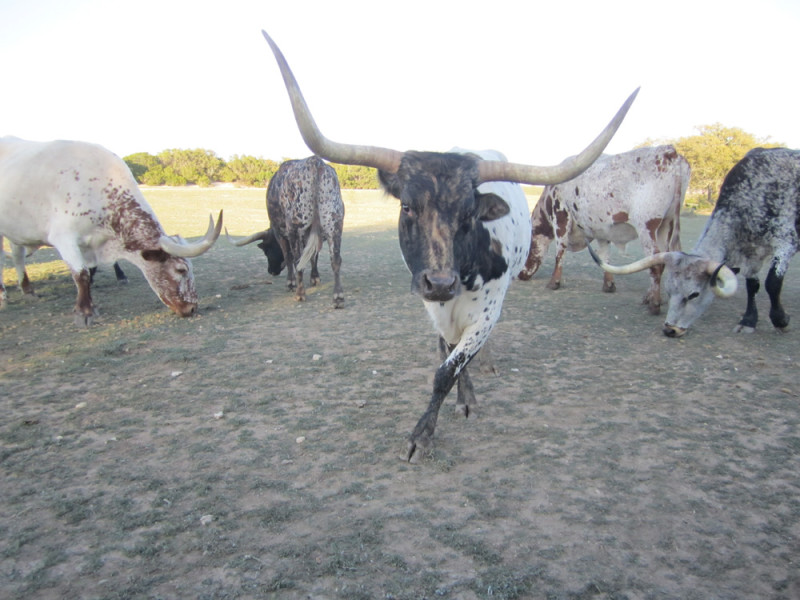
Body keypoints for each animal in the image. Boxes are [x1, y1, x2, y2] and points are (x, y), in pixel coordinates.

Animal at [230, 156, 346, 310]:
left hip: (295, 228)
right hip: (334, 224)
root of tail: (315, 161)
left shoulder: (281, 233)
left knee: (297, 260)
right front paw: (315, 278)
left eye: (266, 250)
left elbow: (289, 256)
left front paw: (291, 282)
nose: (271, 271)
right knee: (336, 260)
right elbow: (313, 256)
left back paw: (299, 293)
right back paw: (338, 298)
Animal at [262, 30, 636, 462]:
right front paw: (462, 399)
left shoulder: (485, 312)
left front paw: (423, 434)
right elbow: (447, 355)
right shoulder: (434, 311)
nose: (440, 283)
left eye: (470, 213)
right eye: (407, 205)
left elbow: (448, 369)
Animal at [520, 145, 688, 314]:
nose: (520, 275)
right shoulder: (601, 229)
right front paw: (608, 284)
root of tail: (669, 151)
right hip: (666, 224)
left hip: (646, 226)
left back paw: (654, 304)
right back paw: (650, 297)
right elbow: (604, 255)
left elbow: (560, 251)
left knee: (655, 263)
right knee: (663, 258)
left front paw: (554, 282)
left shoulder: (561, 216)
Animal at [588, 147, 800, 338]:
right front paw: (748, 321)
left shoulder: (785, 242)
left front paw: (781, 320)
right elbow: (753, 285)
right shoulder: (751, 252)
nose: (670, 330)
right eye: (669, 292)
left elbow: (772, 283)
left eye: (694, 295)